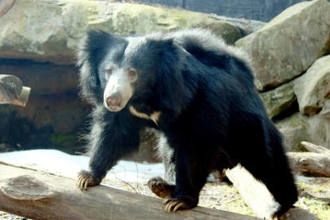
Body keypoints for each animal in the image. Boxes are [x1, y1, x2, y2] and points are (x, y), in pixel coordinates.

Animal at [76, 28, 298, 217]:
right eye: (108, 71)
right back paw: (162, 186)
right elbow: (114, 133)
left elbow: (196, 148)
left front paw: (181, 201)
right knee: (169, 152)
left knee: (265, 158)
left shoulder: (199, 102)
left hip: (245, 123)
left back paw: (281, 206)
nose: (112, 99)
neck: (145, 98)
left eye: (133, 73)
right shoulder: (125, 112)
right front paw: (87, 177)